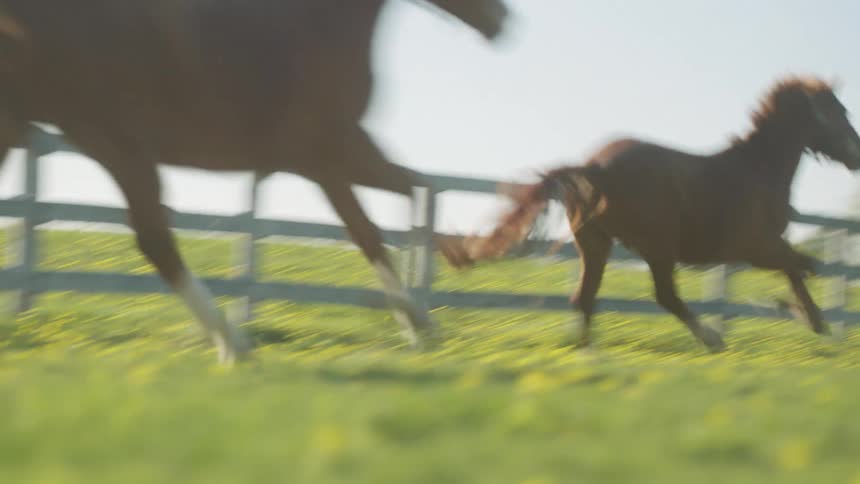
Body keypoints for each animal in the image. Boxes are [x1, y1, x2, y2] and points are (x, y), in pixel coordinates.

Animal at [0, 0, 510, 364]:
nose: (504, 21)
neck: (319, 29)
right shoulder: (330, 159)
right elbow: (385, 219)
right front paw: (422, 319)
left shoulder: (345, 157)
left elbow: (405, 199)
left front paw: (420, 317)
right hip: (115, 139)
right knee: (156, 240)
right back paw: (234, 345)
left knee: (153, 238)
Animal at [446, 76, 860, 353]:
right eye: (838, 111)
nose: (856, 155)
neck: (757, 170)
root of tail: (593, 167)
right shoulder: (755, 246)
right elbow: (802, 267)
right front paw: (803, 316)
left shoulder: (762, 247)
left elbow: (800, 269)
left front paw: (802, 315)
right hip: (657, 246)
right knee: (664, 296)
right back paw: (711, 339)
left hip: (596, 245)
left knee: (585, 296)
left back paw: (587, 351)